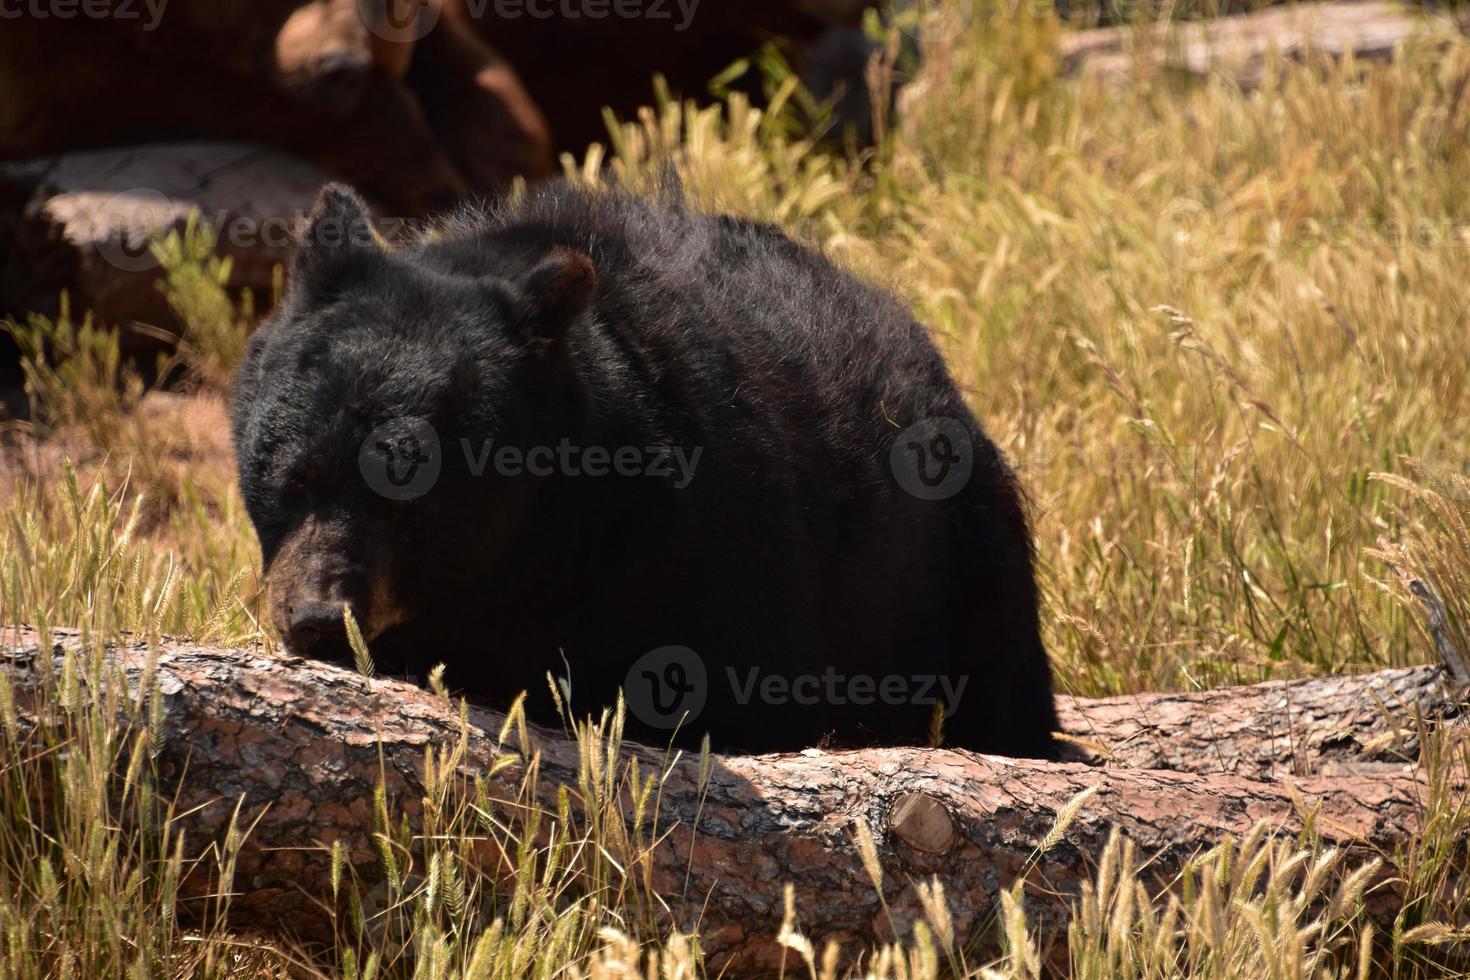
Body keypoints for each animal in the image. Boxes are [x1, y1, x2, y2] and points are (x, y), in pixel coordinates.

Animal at [232, 179, 1058, 758]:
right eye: (294, 476)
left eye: (411, 502)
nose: (316, 618)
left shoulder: (698, 535)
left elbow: (742, 681)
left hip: (960, 551)